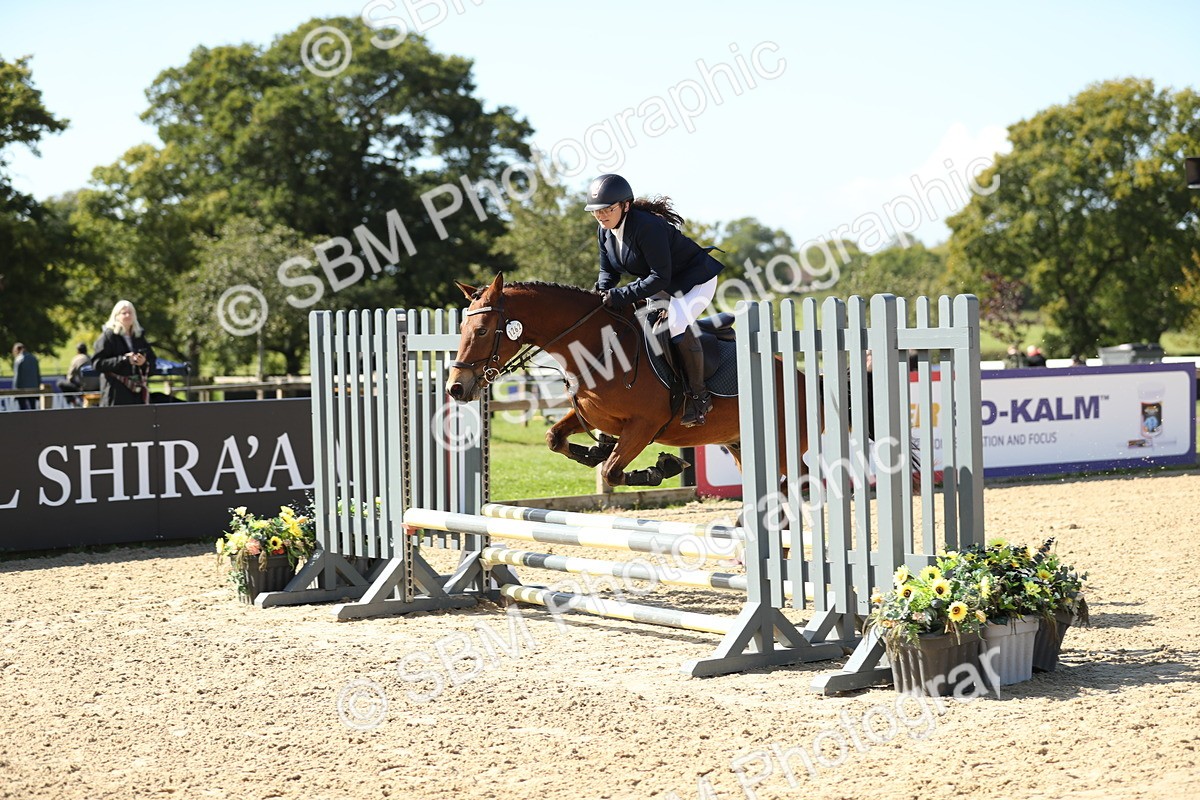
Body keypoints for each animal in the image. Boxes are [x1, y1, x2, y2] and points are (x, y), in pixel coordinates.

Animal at [446, 272, 807, 488]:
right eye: (462, 328)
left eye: (482, 331)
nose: (456, 388)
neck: (598, 345)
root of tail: (803, 380)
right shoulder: (593, 416)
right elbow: (554, 438)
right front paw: (596, 451)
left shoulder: (644, 426)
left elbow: (613, 472)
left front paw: (661, 468)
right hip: (739, 445)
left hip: (782, 447)